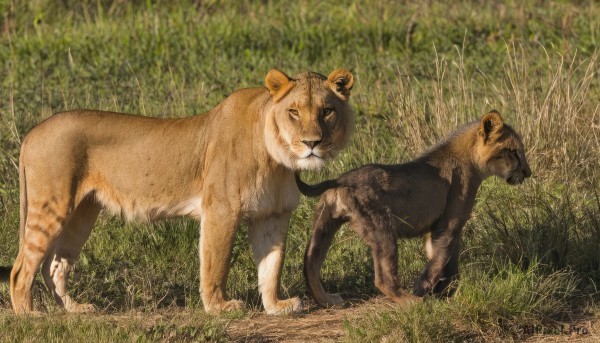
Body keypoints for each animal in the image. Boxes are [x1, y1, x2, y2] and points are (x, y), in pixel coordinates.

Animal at [0, 68, 354, 316]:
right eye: (294, 112)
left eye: (327, 111)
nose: (312, 143)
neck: (278, 158)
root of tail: (33, 131)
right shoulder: (221, 208)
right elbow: (216, 262)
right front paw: (219, 307)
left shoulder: (273, 215)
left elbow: (272, 265)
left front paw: (276, 306)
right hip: (51, 206)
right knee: (21, 270)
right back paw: (31, 316)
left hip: (81, 213)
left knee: (54, 266)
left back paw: (74, 310)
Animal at [296, 111, 528, 308]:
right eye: (513, 152)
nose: (528, 173)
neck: (472, 162)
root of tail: (341, 179)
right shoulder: (449, 223)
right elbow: (439, 258)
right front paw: (423, 289)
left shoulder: (446, 227)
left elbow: (448, 261)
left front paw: (448, 290)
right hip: (382, 227)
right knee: (383, 278)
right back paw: (413, 302)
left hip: (323, 225)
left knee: (310, 266)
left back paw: (328, 300)